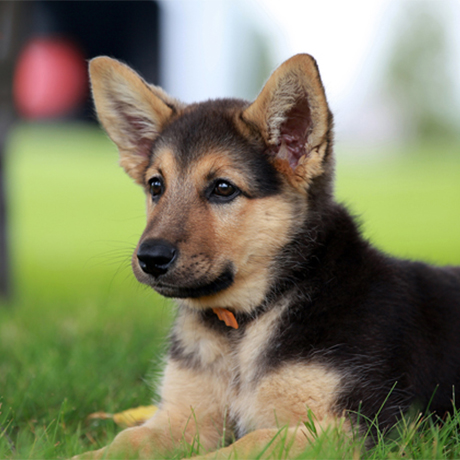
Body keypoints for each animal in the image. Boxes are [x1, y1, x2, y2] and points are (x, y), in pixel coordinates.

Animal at [81, 54, 460, 458]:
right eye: (156, 186)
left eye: (223, 189)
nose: (150, 258)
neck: (246, 321)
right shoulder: (182, 416)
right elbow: (125, 440)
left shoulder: (355, 427)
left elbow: (247, 443)